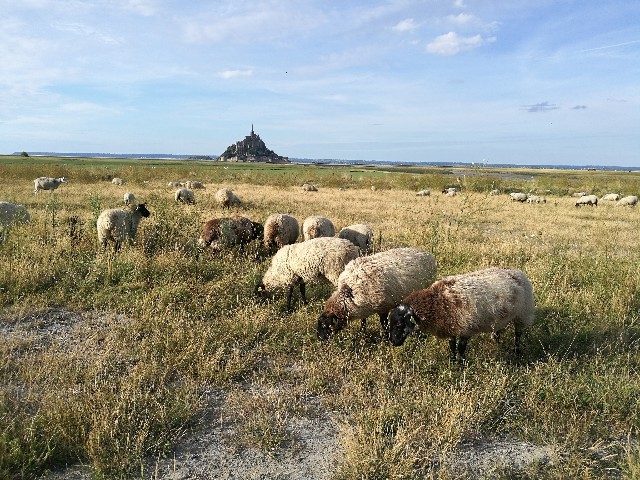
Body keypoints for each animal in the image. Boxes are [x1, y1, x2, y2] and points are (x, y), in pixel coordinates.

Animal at [384, 266, 536, 364]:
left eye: (399, 323)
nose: (393, 342)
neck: (436, 302)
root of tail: (518, 272)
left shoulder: (466, 328)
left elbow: (461, 348)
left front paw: (462, 364)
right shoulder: (452, 326)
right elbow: (452, 345)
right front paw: (452, 361)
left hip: (523, 313)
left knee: (518, 334)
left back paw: (517, 351)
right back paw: (497, 343)